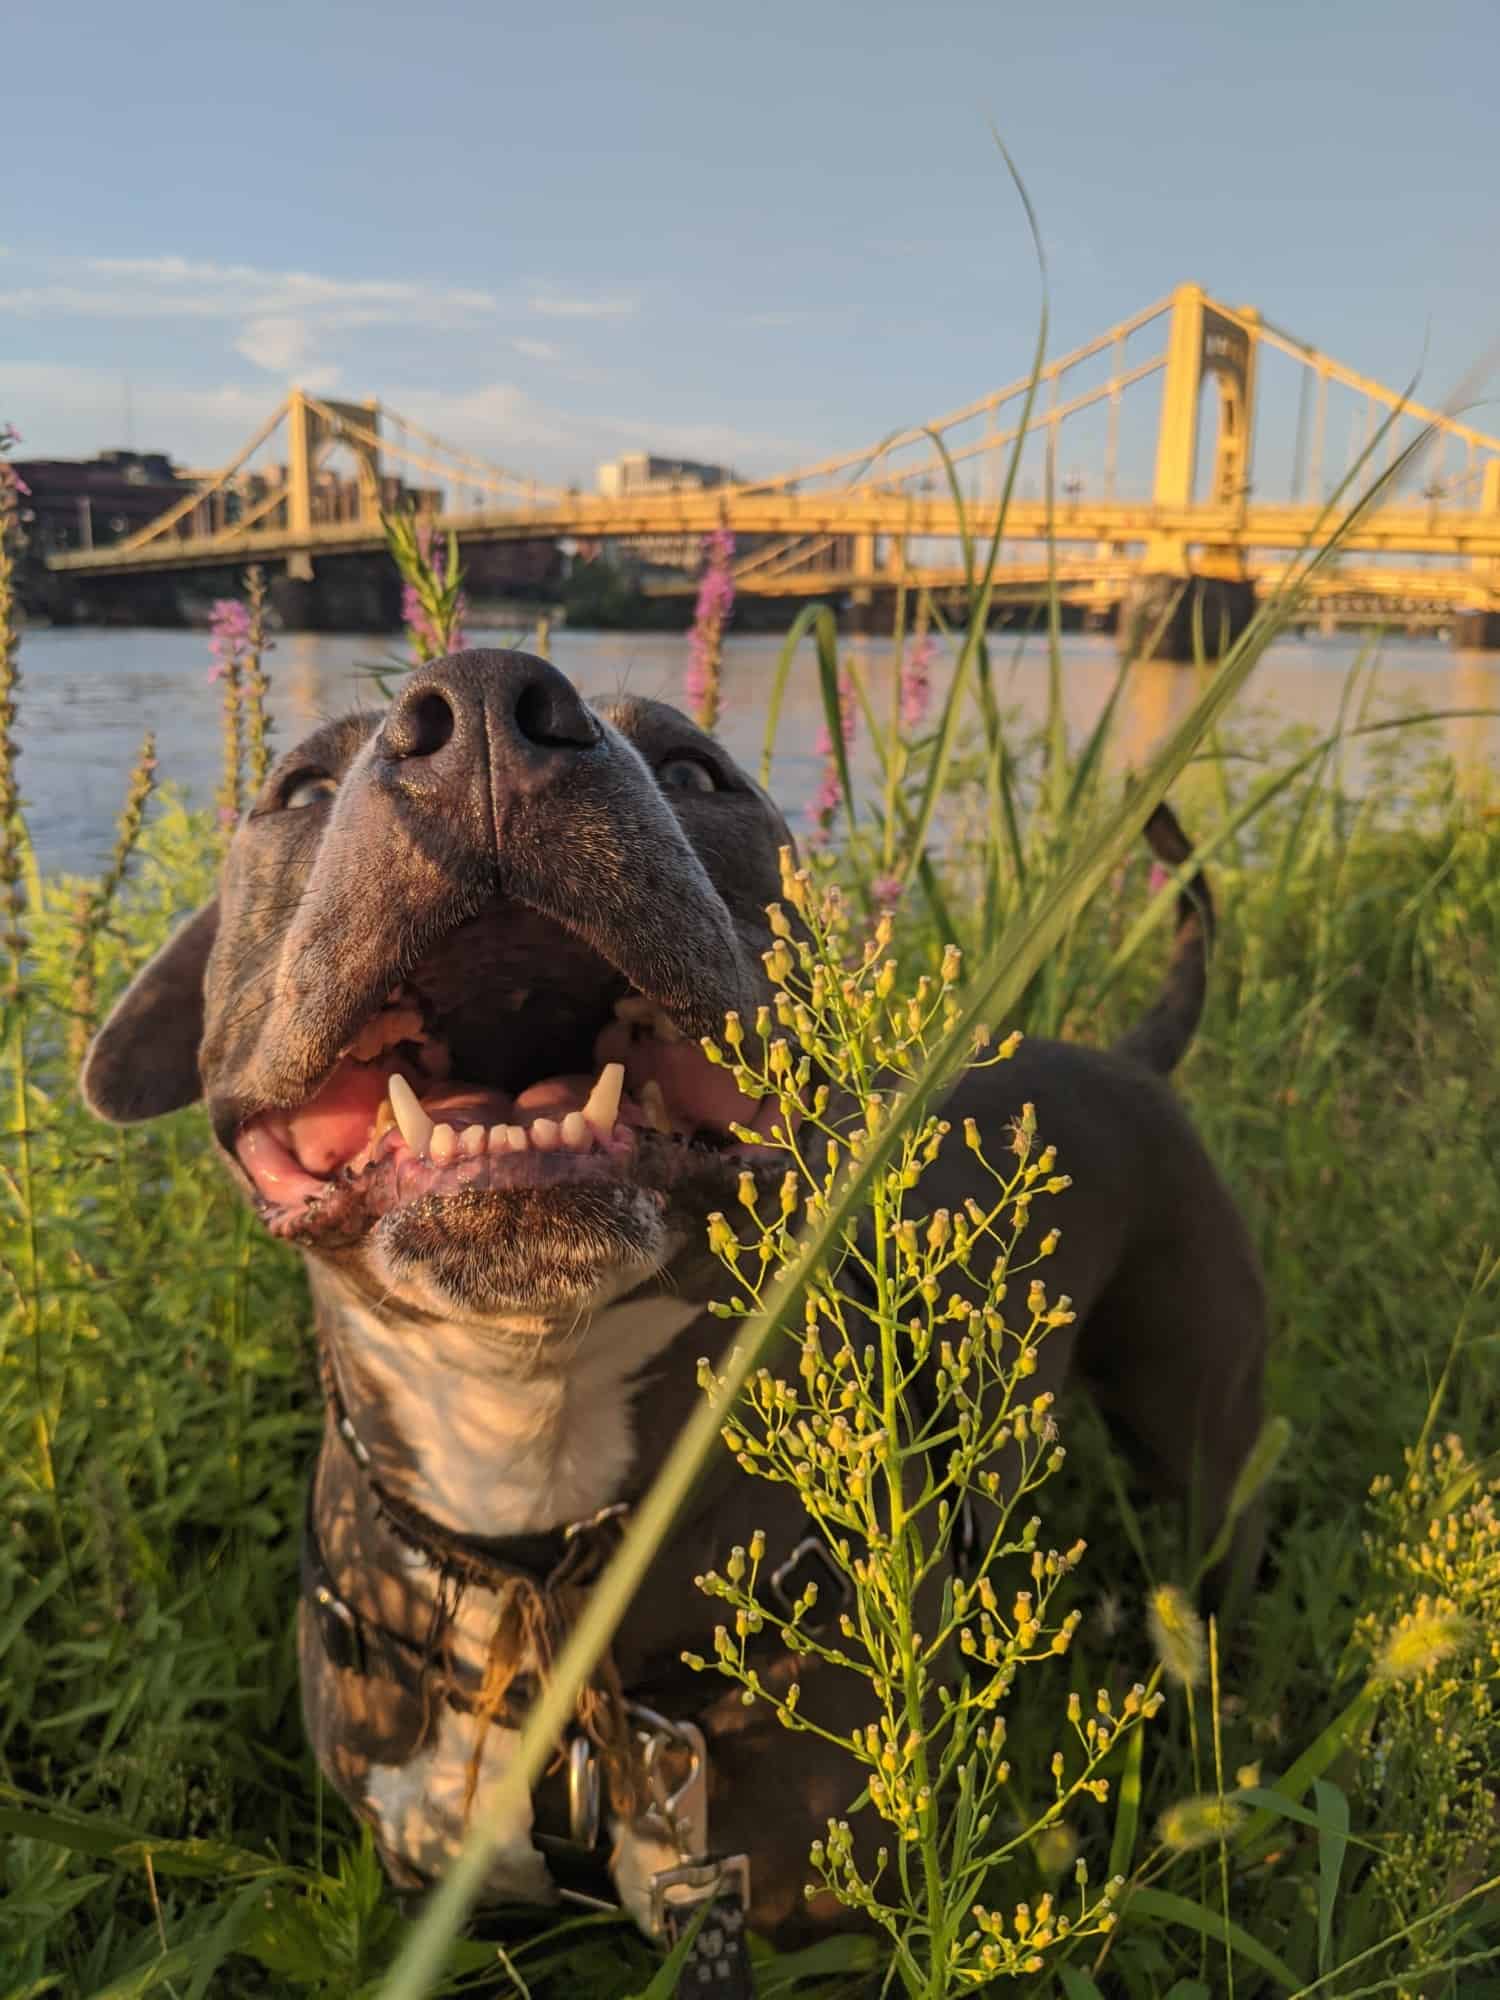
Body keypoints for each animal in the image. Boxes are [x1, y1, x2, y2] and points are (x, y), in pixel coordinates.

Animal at [85, 648, 1272, 1960]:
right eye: (295, 789)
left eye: (700, 771)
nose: (486, 706)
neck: (531, 1453)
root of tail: (1129, 1055)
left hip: (1204, 1422)